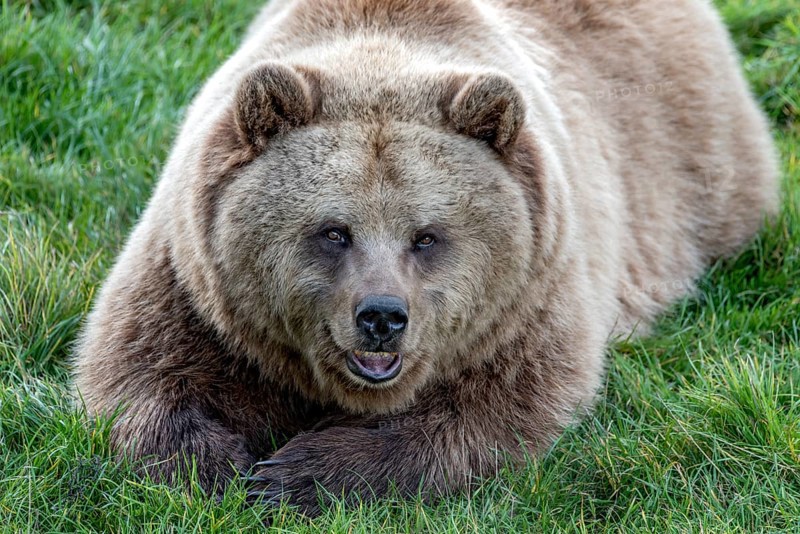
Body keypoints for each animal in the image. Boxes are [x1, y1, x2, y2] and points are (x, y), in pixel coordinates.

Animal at [73, 0, 778, 514]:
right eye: (334, 231)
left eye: (427, 236)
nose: (382, 317)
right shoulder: (194, 281)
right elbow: (138, 374)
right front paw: (222, 470)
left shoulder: (530, 298)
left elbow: (493, 414)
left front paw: (297, 474)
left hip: (691, 166)